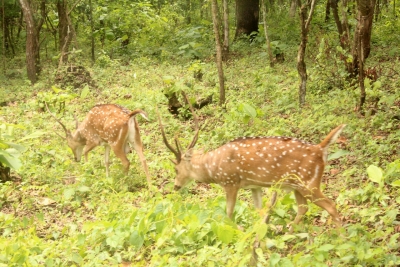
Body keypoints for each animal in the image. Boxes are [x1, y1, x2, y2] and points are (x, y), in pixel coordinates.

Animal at [158, 101, 346, 231]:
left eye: (176, 169)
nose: (175, 186)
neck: (213, 169)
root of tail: (320, 149)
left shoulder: (231, 182)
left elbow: (228, 214)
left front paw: (238, 231)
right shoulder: (254, 186)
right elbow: (260, 211)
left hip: (309, 182)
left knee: (331, 206)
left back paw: (341, 237)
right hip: (297, 186)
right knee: (303, 208)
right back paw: (289, 230)